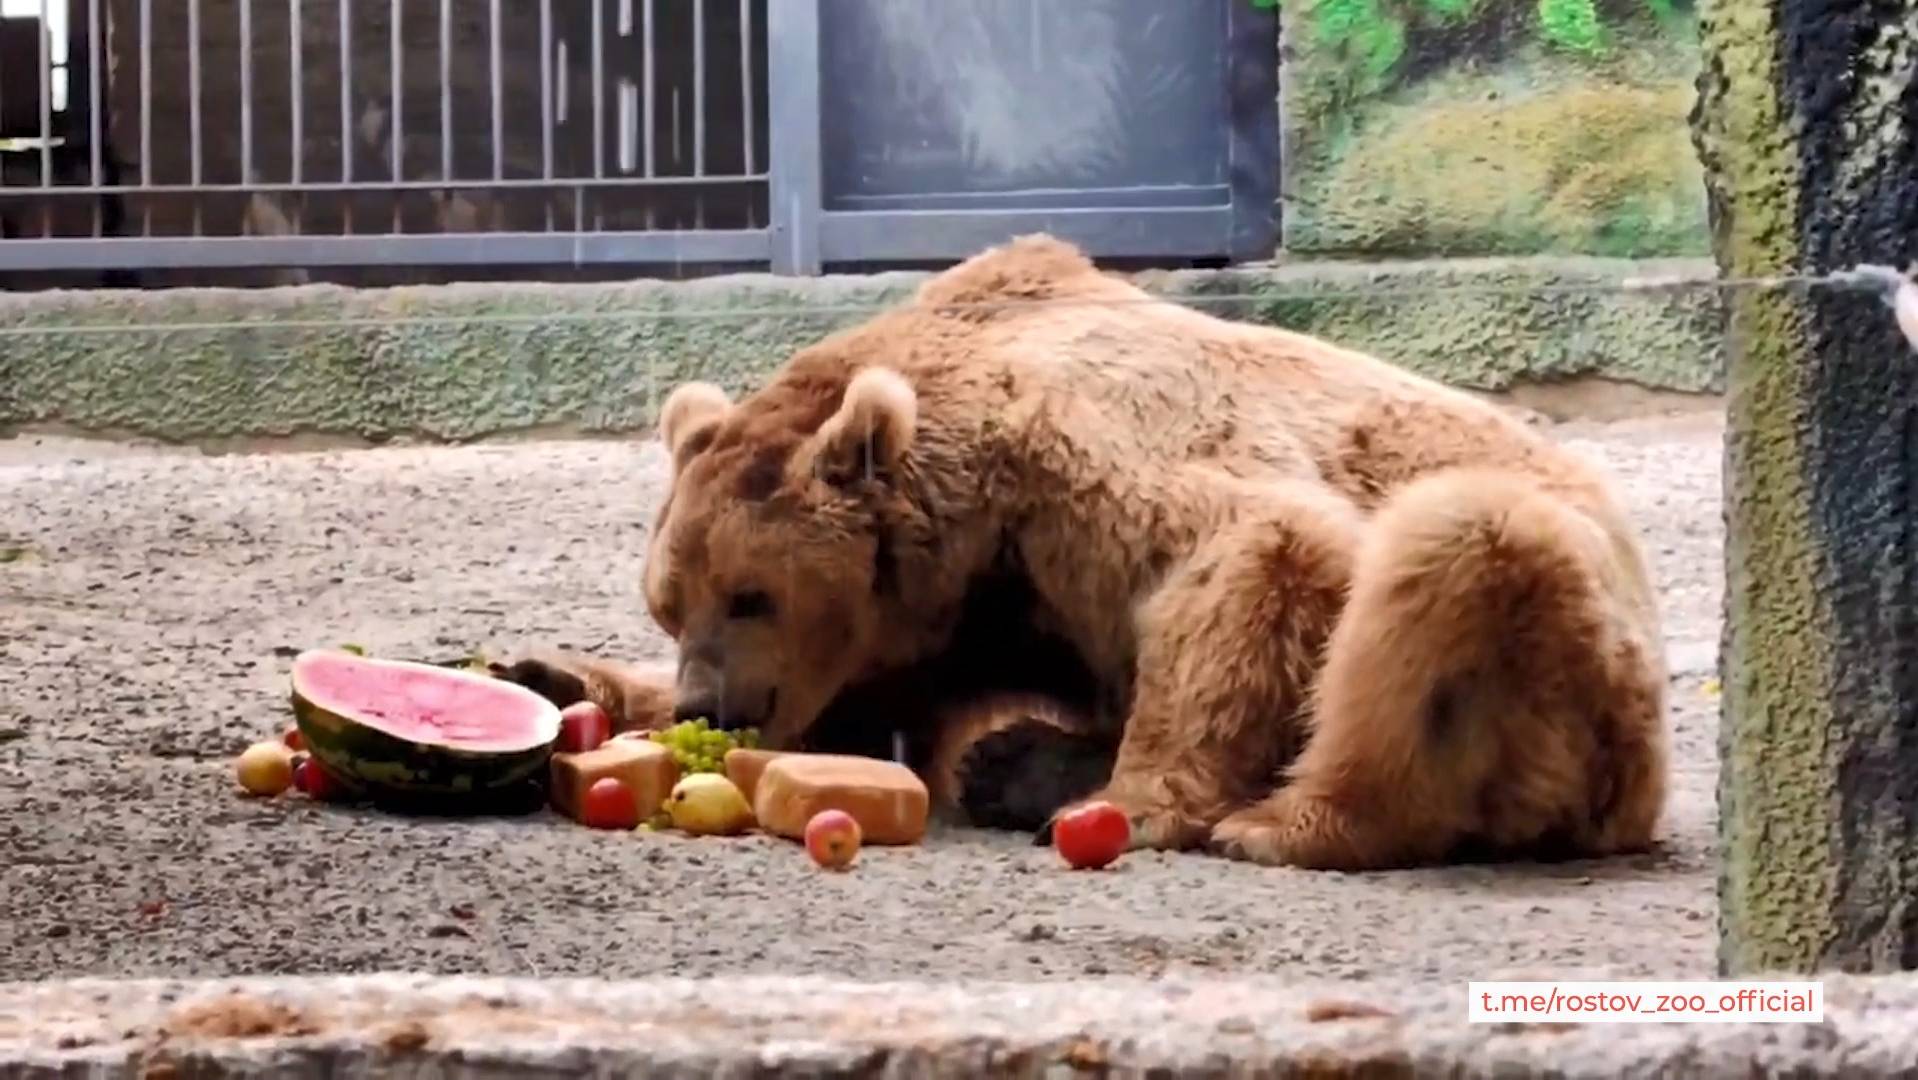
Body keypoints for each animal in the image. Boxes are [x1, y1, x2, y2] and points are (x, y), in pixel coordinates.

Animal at [502, 234, 1672, 870]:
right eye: (670, 603)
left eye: (752, 595)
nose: (717, 701)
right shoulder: (965, 612)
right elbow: (874, 709)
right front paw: (551, 675)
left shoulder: (1081, 463)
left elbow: (1257, 544)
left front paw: (1138, 803)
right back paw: (1021, 763)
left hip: (1578, 675)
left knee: (1453, 546)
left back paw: (1286, 819)